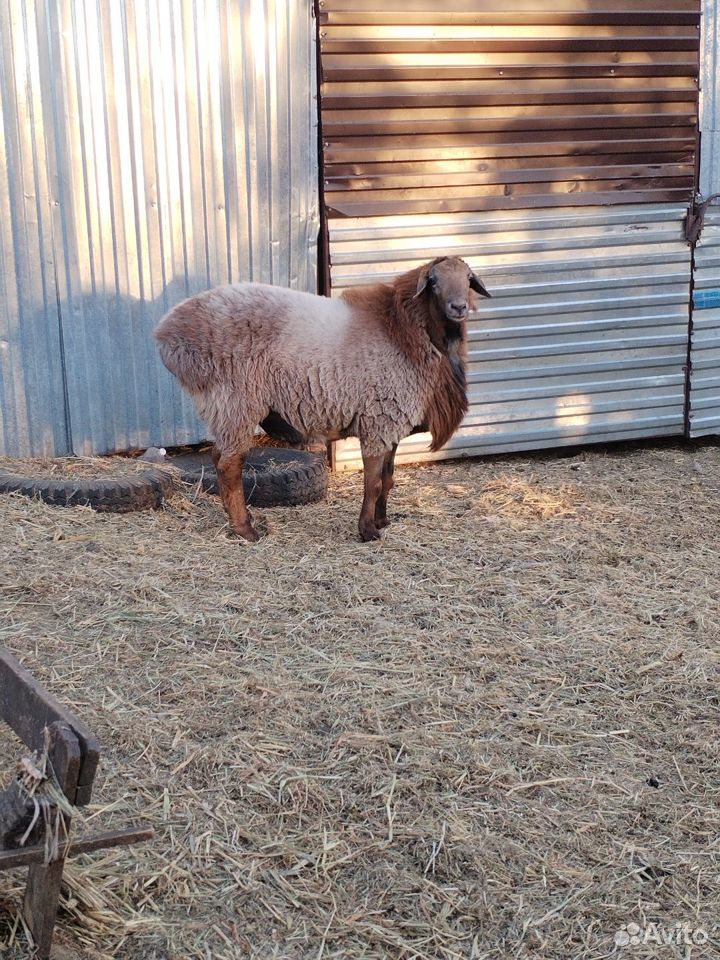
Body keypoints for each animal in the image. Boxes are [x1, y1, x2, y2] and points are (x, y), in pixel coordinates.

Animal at [155, 255, 492, 540]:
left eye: (468, 278)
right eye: (433, 280)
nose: (459, 307)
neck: (402, 331)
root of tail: (166, 332)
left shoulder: (391, 425)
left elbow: (388, 478)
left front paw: (382, 521)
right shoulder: (379, 420)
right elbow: (372, 482)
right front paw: (367, 531)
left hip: (224, 407)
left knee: (219, 457)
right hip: (235, 400)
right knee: (228, 464)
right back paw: (246, 530)